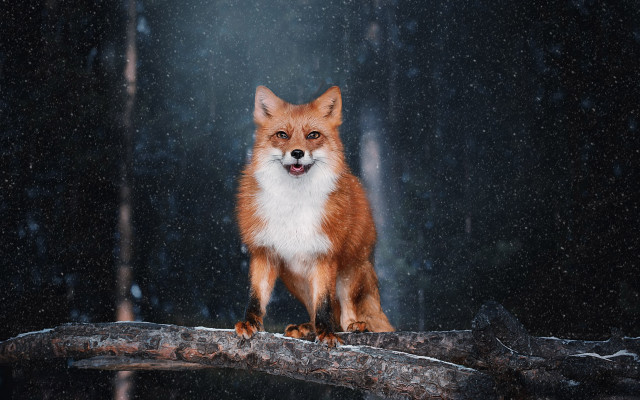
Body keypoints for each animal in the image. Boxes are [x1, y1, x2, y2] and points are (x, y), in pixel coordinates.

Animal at [234, 85, 394, 347]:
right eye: (282, 135)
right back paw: (306, 327)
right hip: (294, 279)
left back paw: (353, 326)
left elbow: (324, 304)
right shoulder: (264, 252)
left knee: (345, 310)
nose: (297, 153)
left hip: (351, 269)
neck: (294, 203)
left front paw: (326, 333)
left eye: (313, 135)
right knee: (315, 309)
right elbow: (256, 297)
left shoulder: (325, 254)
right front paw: (250, 323)